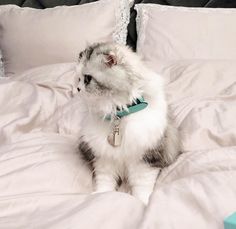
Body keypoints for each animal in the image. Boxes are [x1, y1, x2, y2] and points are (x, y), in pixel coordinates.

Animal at [75, 41, 181, 204]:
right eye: (78, 78)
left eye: (87, 78)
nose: (77, 88)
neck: (118, 113)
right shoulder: (104, 158)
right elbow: (105, 182)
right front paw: (101, 195)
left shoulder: (145, 159)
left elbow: (141, 186)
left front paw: (143, 202)